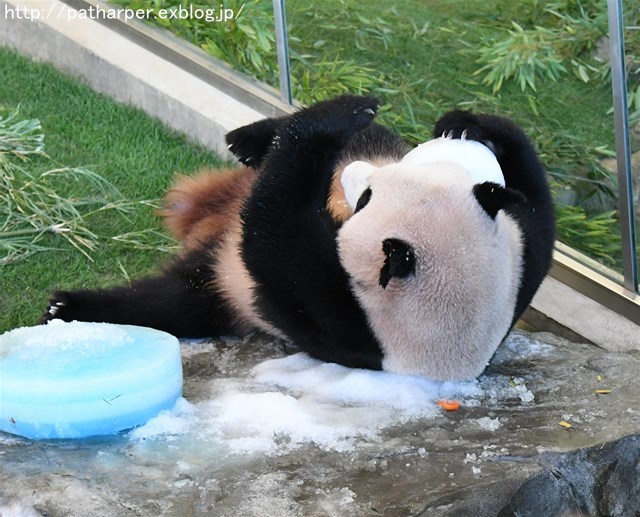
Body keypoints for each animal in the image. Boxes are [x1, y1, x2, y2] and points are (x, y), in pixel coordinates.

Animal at [40, 95, 552, 378]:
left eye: (368, 198)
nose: (351, 174)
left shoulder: (336, 308)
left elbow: (273, 237)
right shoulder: (520, 255)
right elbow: (535, 208)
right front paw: (468, 124)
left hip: (222, 287)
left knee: (165, 303)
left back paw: (67, 308)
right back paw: (250, 140)